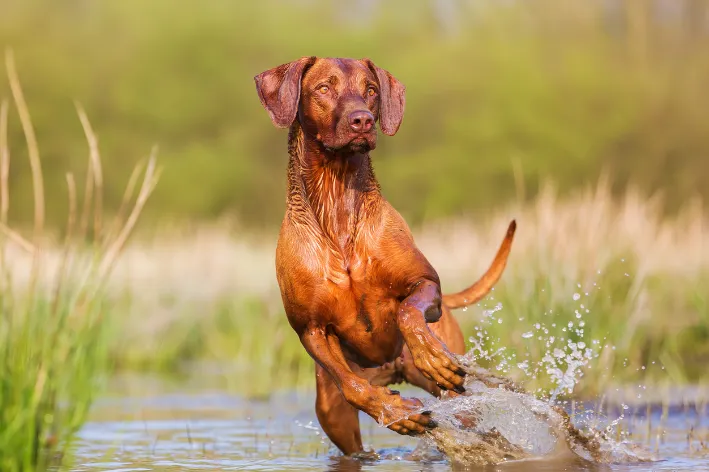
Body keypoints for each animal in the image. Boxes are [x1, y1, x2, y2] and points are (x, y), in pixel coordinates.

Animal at [254, 57, 516, 456]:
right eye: (323, 88)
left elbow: (408, 312)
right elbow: (353, 387)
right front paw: (394, 411)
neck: (337, 202)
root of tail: (391, 368)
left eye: (371, 90)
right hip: (333, 413)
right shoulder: (309, 328)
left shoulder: (427, 283)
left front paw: (432, 355)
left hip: (457, 393)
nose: (362, 120)